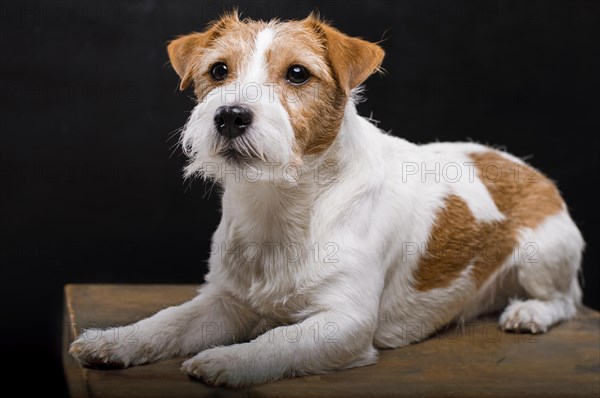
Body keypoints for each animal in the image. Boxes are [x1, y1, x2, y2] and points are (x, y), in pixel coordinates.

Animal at [68, 13, 584, 388]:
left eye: (298, 73)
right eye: (218, 70)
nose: (230, 114)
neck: (281, 203)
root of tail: (522, 165)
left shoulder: (345, 322)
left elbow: (279, 339)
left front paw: (230, 360)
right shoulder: (224, 300)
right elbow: (168, 321)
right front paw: (114, 341)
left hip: (544, 256)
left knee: (566, 301)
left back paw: (529, 313)